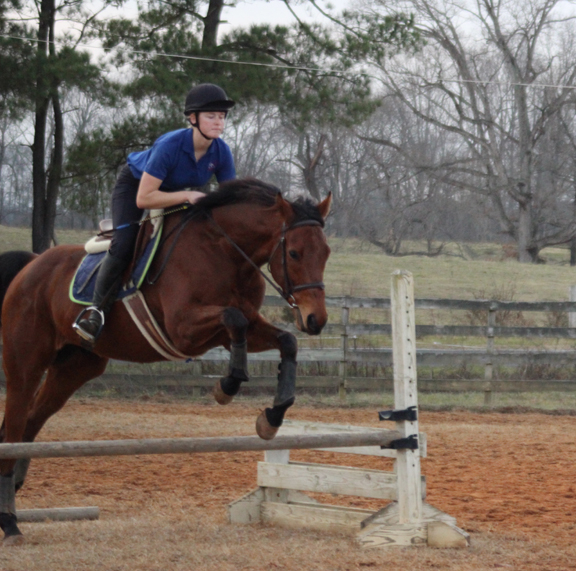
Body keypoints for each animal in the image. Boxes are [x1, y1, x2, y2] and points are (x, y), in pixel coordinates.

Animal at [0, 179, 330, 544]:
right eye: (294, 253)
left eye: (326, 252)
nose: (316, 320)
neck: (226, 252)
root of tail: (31, 265)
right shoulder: (184, 328)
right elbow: (234, 319)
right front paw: (228, 385)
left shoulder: (234, 331)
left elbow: (284, 341)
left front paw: (272, 415)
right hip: (26, 365)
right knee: (13, 427)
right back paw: (9, 523)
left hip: (74, 368)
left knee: (31, 422)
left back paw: (15, 495)